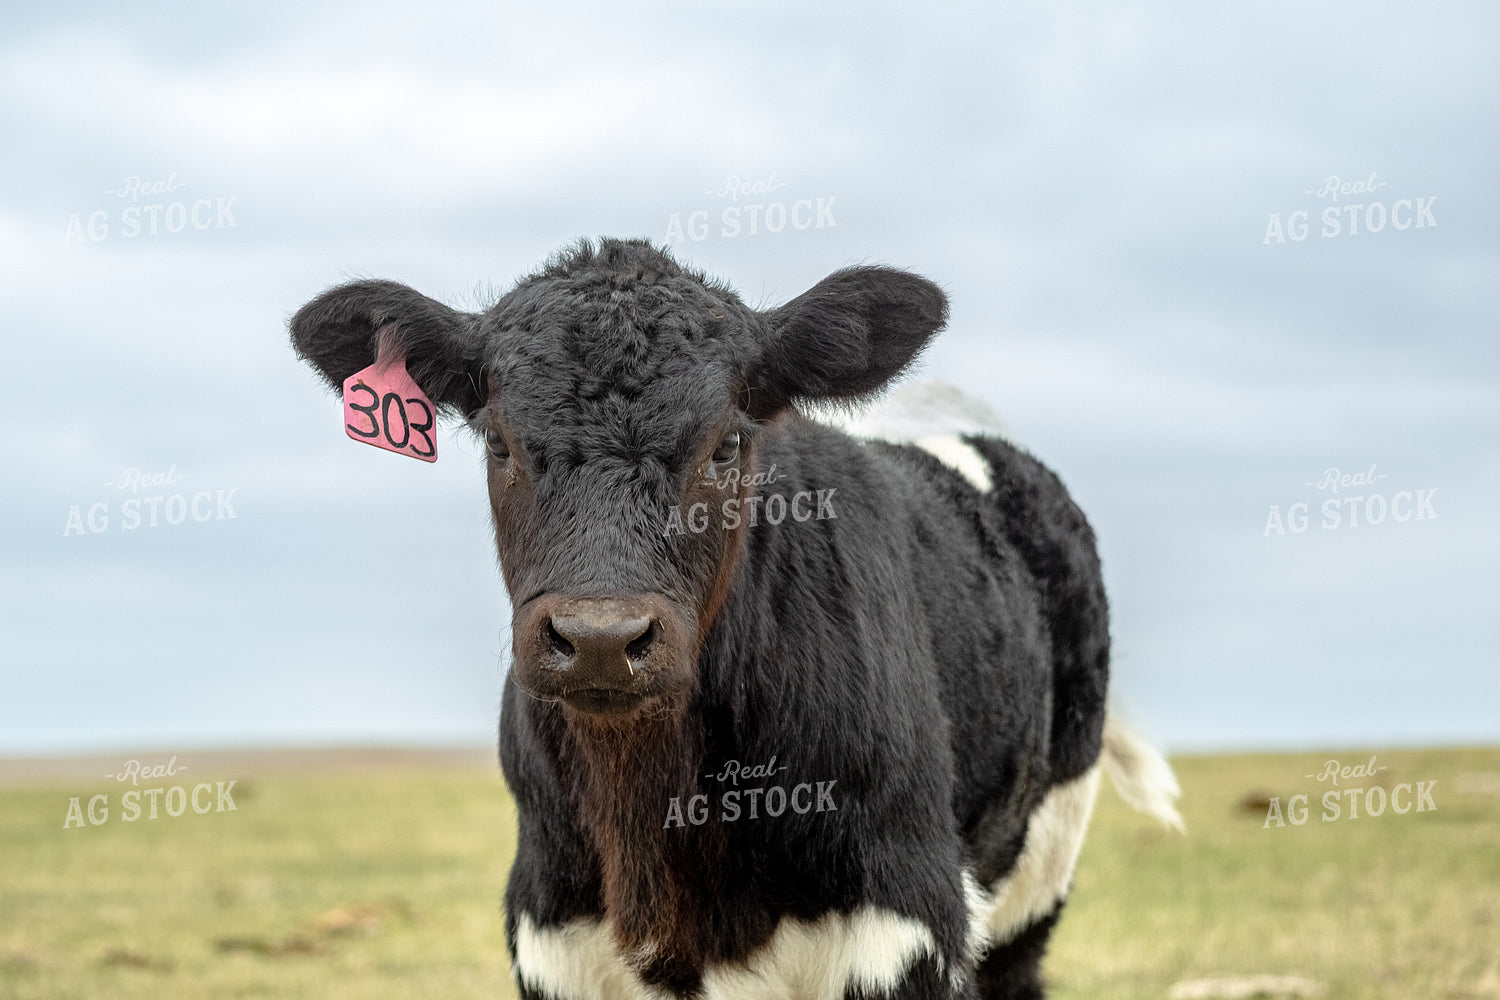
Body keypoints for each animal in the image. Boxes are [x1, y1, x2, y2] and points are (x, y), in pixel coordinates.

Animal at [289, 237, 1181, 1000]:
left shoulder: (907, 918)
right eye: (500, 443)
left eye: (725, 444)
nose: (602, 640)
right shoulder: (553, 927)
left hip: (1038, 872)